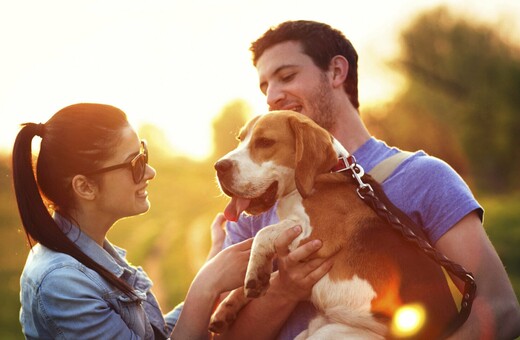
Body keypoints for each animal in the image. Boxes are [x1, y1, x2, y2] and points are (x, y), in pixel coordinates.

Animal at [209, 110, 458, 338]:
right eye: (241, 139)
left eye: (265, 142)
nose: (219, 166)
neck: (326, 173)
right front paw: (228, 305)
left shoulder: (316, 235)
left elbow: (263, 233)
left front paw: (255, 270)